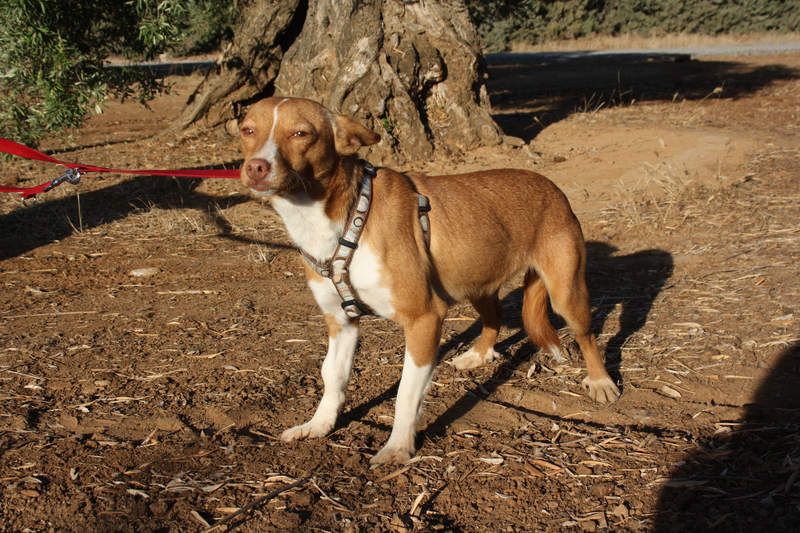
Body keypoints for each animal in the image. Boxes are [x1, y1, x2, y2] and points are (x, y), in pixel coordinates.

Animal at [238, 97, 620, 464]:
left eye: (301, 134)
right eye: (247, 130)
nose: (256, 166)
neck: (343, 217)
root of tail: (551, 186)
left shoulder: (424, 318)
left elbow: (406, 393)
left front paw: (398, 448)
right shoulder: (341, 322)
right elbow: (332, 376)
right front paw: (318, 426)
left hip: (564, 291)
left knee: (586, 335)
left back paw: (601, 381)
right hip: (473, 280)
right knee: (494, 316)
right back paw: (478, 355)